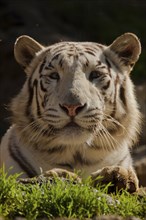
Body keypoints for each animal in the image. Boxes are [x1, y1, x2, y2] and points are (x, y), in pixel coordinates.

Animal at [0, 32, 141, 192]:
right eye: (54, 75)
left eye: (95, 74)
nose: (72, 107)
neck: (77, 154)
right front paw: (61, 175)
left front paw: (117, 176)